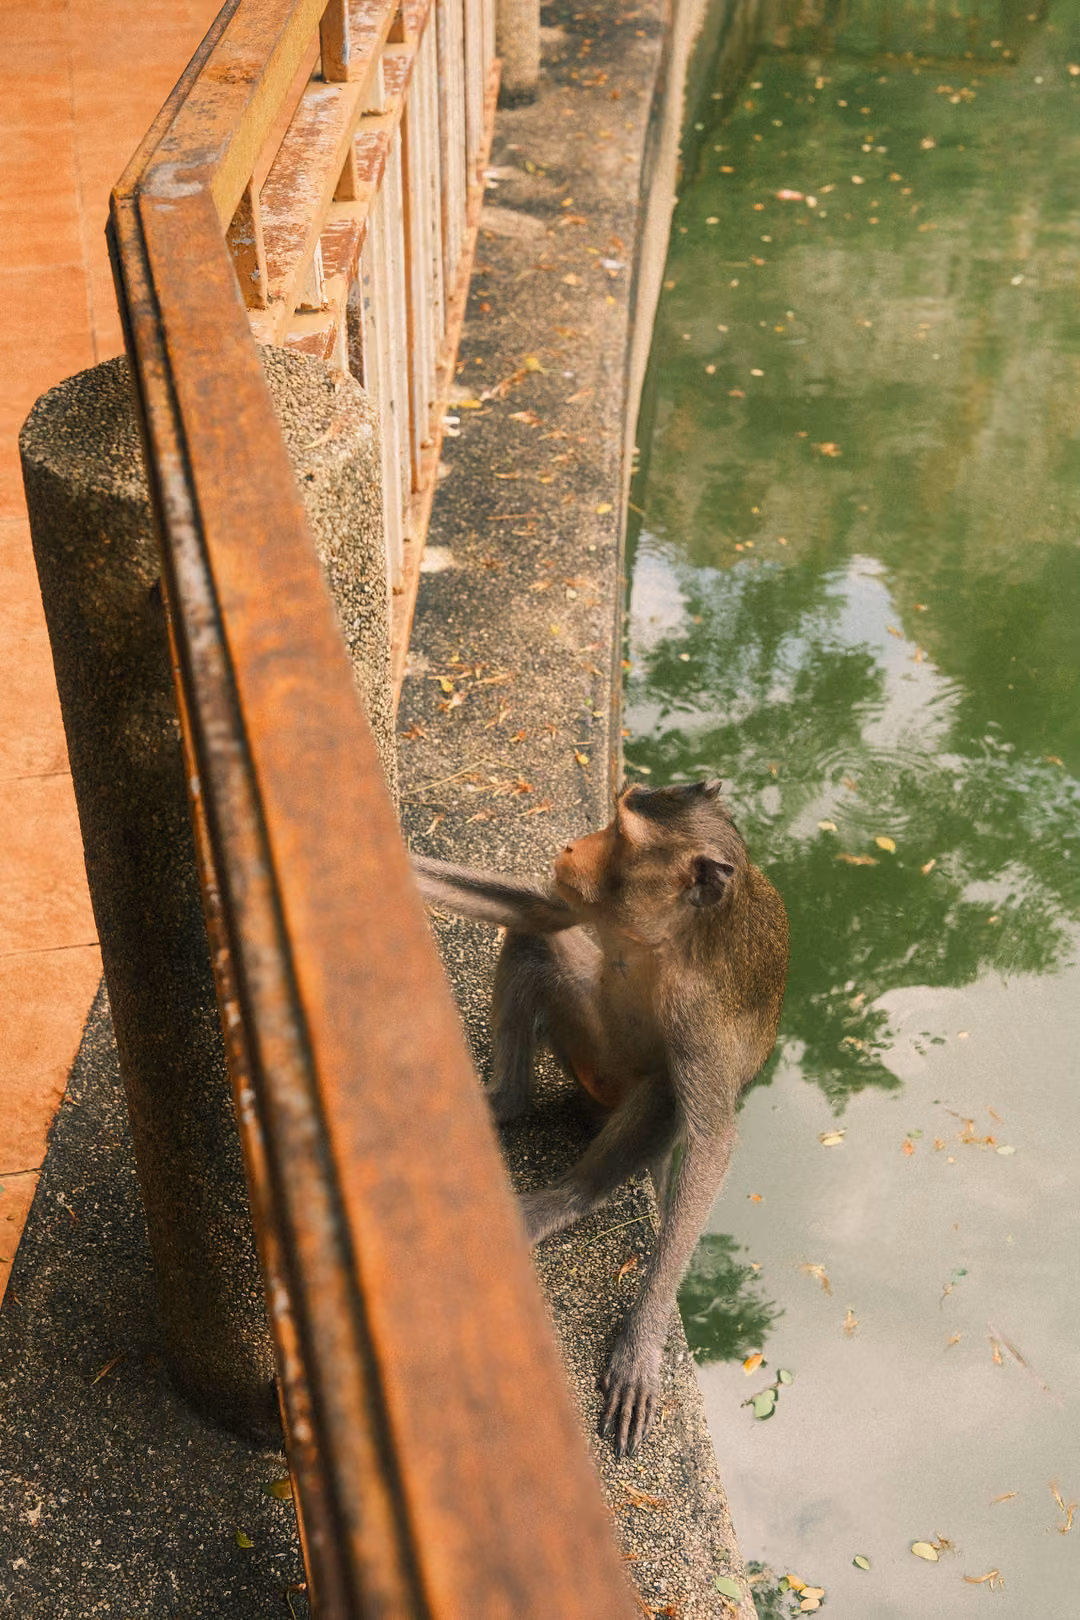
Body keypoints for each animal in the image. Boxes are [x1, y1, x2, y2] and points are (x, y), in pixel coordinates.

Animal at [411, 780, 788, 1458]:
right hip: (584, 1049)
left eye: (618, 834)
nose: (571, 845)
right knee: (535, 941)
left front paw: (642, 1341)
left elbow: (712, 1143)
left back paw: (566, 1197)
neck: (667, 940)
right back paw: (504, 1103)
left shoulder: (700, 1015)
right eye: (618, 814)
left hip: (618, 1088)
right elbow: (536, 914)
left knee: (665, 1091)